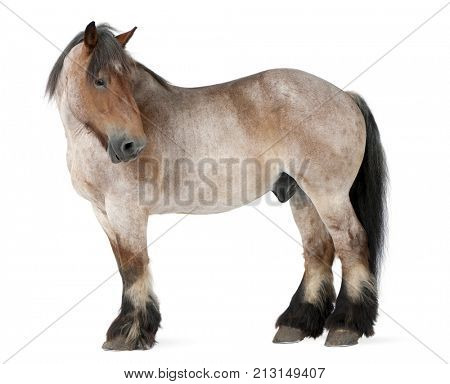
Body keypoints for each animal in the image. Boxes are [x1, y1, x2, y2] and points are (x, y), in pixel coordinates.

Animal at [47, 21, 388, 352]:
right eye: (100, 81)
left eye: (127, 81)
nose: (131, 145)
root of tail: (345, 96)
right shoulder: (103, 213)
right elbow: (123, 266)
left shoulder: (126, 211)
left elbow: (134, 266)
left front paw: (129, 334)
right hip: (303, 196)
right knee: (318, 249)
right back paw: (297, 324)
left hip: (328, 195)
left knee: (352, 243)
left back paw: (345, 326)